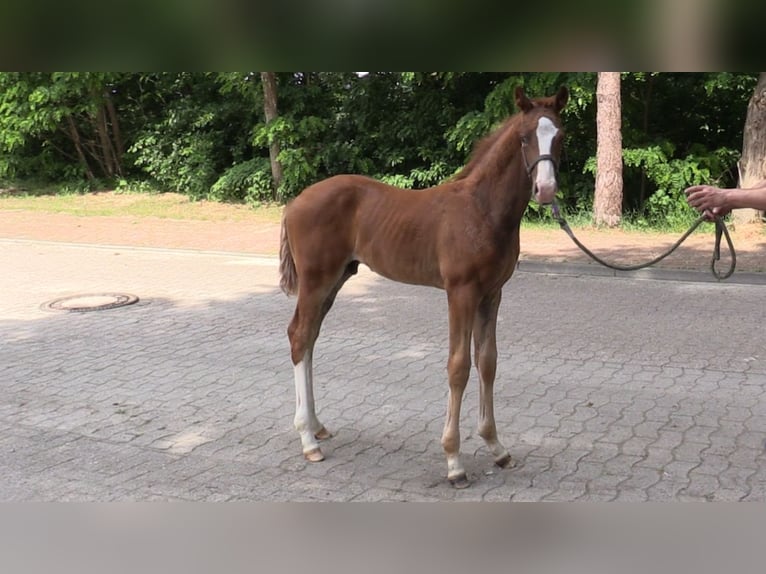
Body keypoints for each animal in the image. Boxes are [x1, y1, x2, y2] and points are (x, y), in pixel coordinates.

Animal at [282, 86, 568, 490]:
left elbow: (488, 362)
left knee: (309, 339)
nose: (545, 189)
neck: (483, 210)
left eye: (560, 136)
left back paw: (318, 426)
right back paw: (308, 440)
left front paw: (496, 447)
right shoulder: (460, 292)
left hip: (336, 279)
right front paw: (454, 461)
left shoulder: (492, 293)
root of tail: (294, 203)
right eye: (525, 137)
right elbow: (459, 366)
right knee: (298, 336)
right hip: (315, 279)